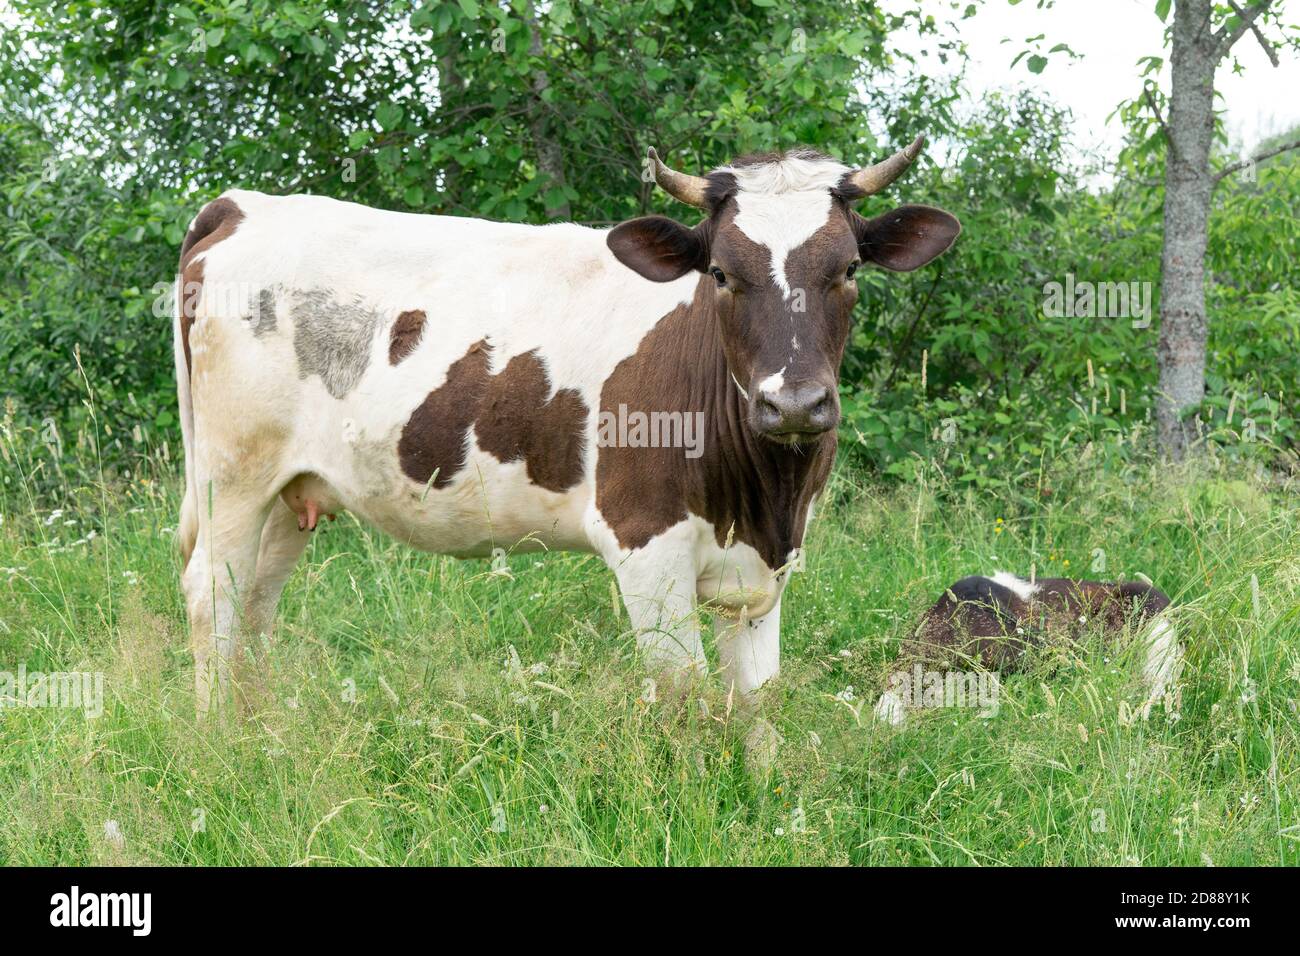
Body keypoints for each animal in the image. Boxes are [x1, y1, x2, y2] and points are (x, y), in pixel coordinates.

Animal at [173, 136, 961, 719]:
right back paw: (220, 740)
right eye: (721, 274)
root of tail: (244, 204)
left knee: (257, 604)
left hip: (290, 490)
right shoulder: (646, 545)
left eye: (849, 268)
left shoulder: (766, 569)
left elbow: (757, 706)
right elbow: (685, 701)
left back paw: (262, 730)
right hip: (231, 477)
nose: (793, 405)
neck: (766, 497)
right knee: (213, 596)